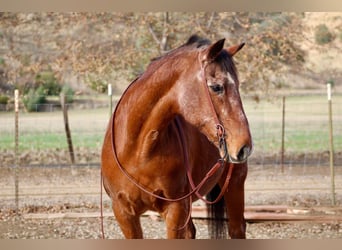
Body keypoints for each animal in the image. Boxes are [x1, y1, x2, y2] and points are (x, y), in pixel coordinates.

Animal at [100, 34, 252, 238]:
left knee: (236, 229)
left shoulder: (175, 210)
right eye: (216, 87)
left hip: (234, 184)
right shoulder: (124, 213)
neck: (138, 150)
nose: (244, 147)